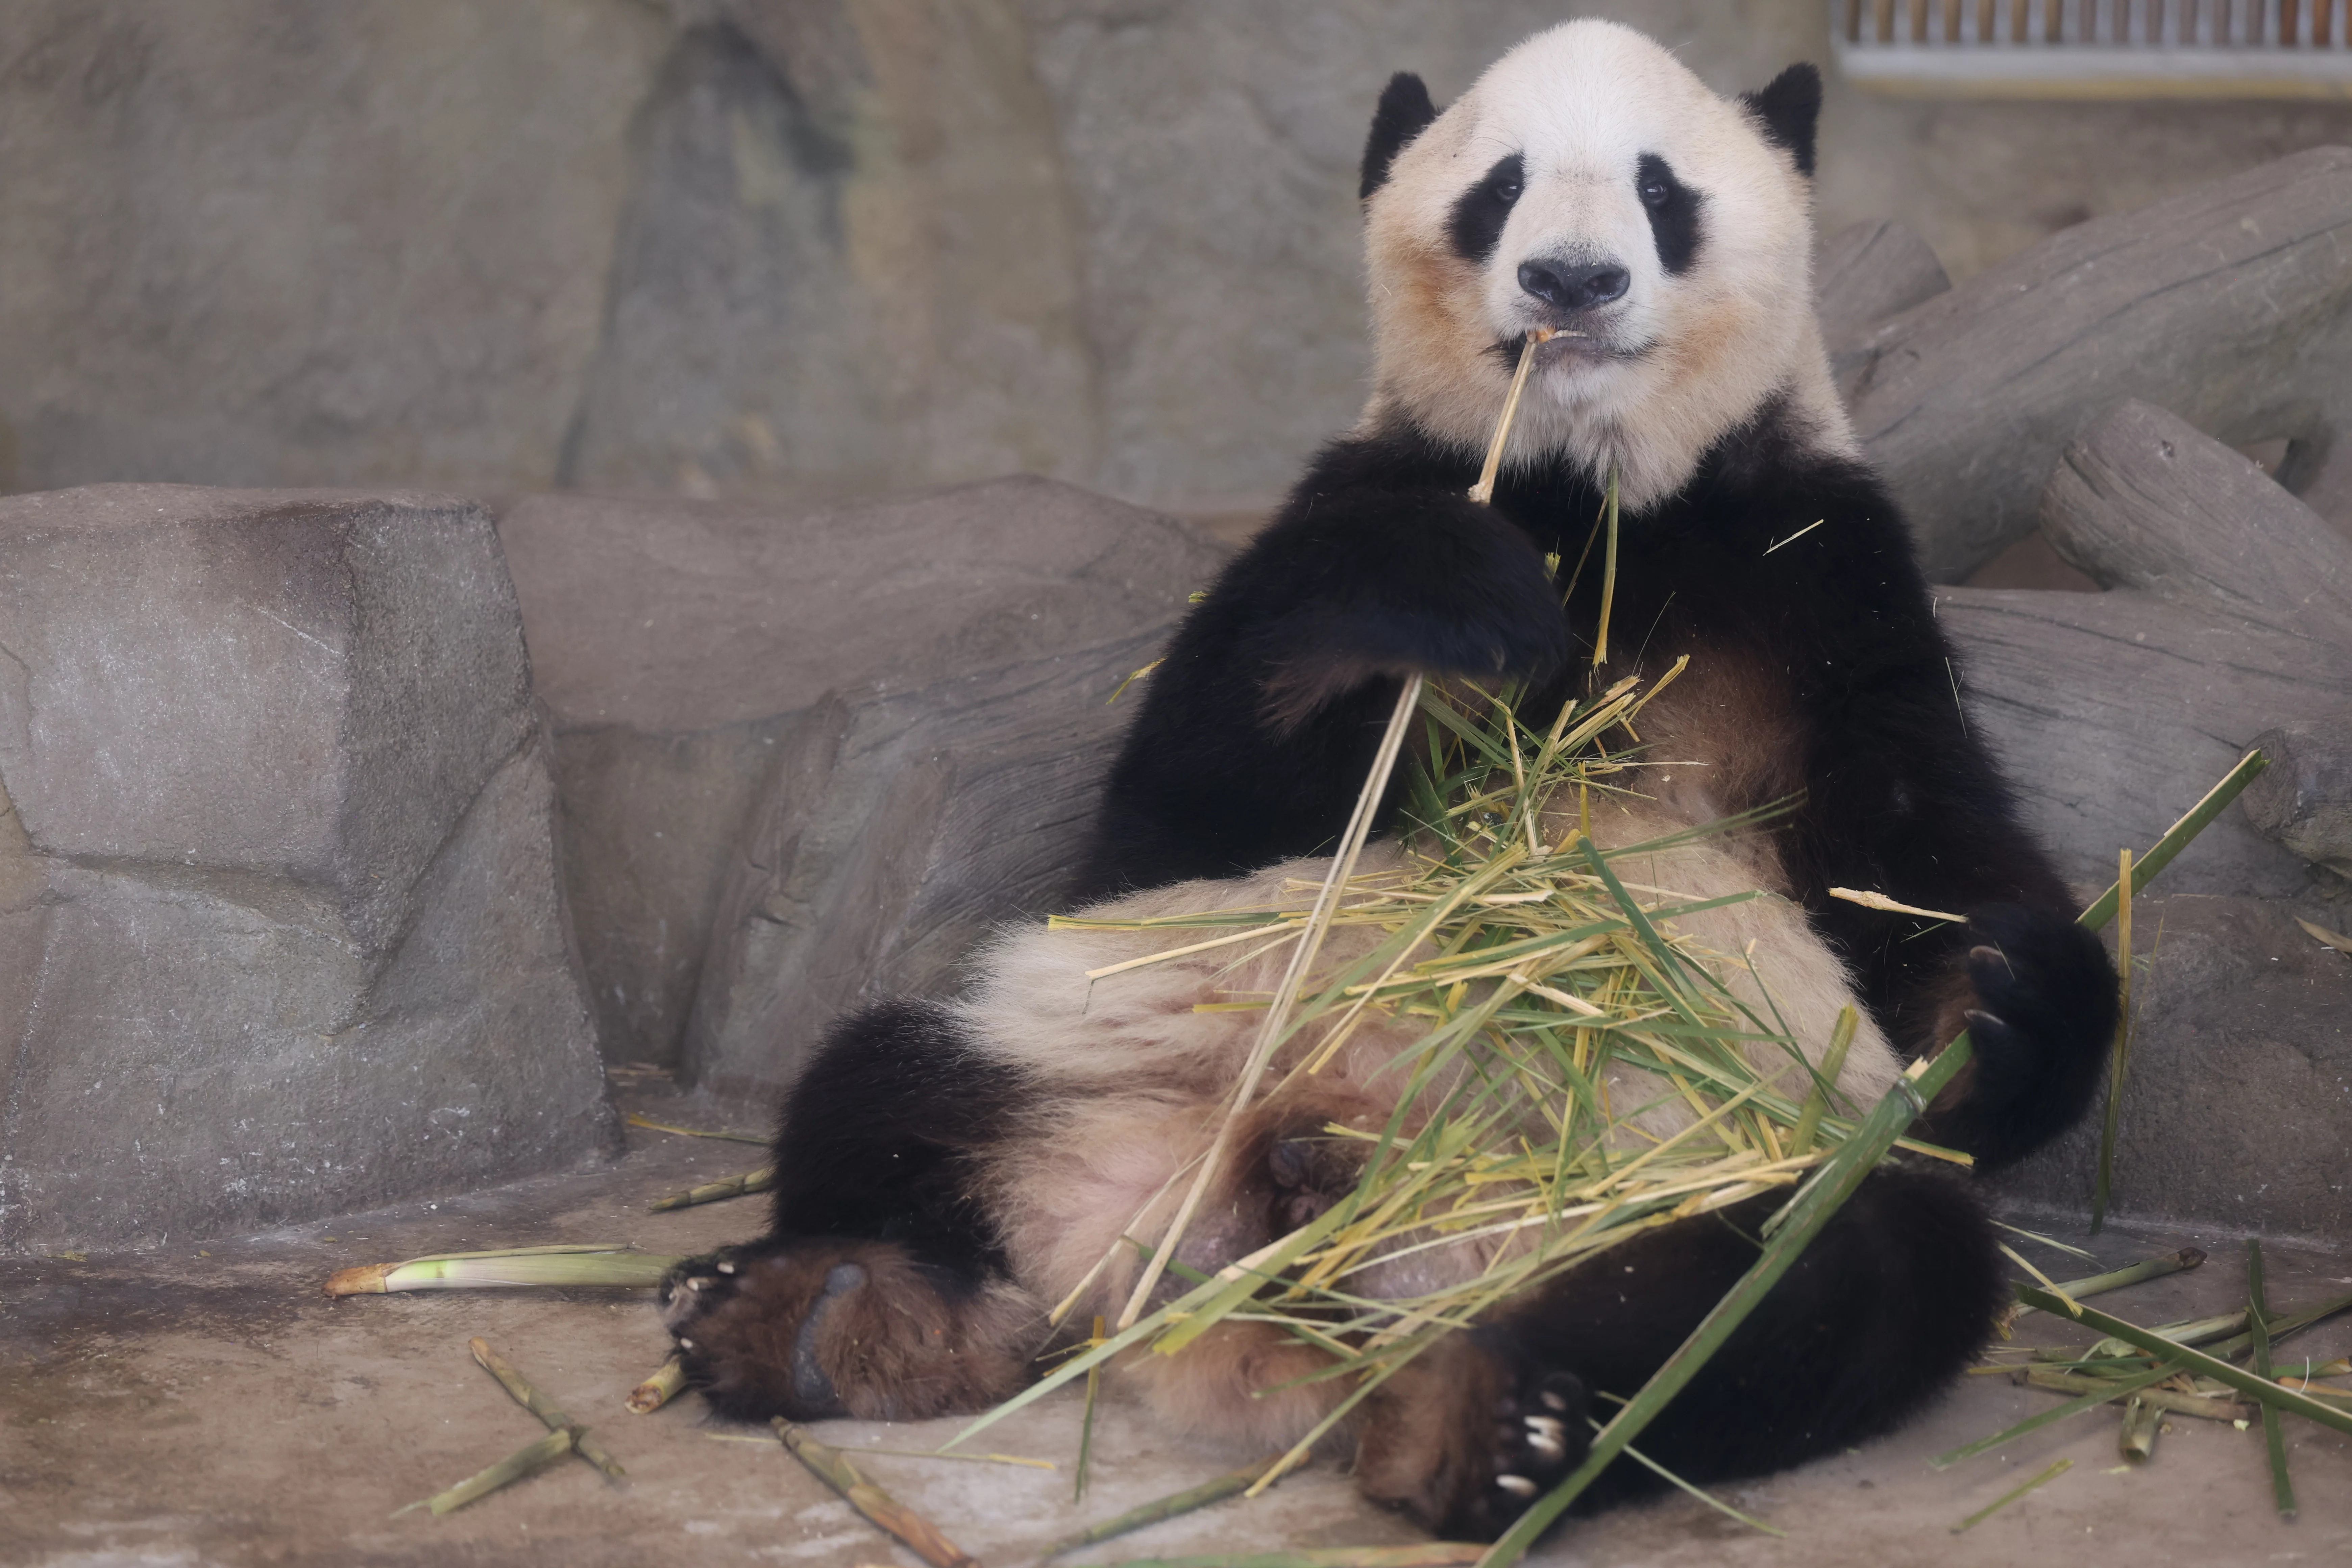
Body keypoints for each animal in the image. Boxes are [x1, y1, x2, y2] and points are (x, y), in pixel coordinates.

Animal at [660, 20, 2118, 1541]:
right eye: (1500, 188)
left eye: (1662, 191)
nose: (1570, 281)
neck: (1595, 500)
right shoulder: (1354, 501)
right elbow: (1177, 818)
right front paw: (1452, 587)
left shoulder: (1824, 571)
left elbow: (1917, 853)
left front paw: (2007, 997)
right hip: (1086, 1049)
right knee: (883, 1090)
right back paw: (819, 1316)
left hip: (1728, 1161)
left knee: (1828, 1284)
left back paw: (1484, 1419)